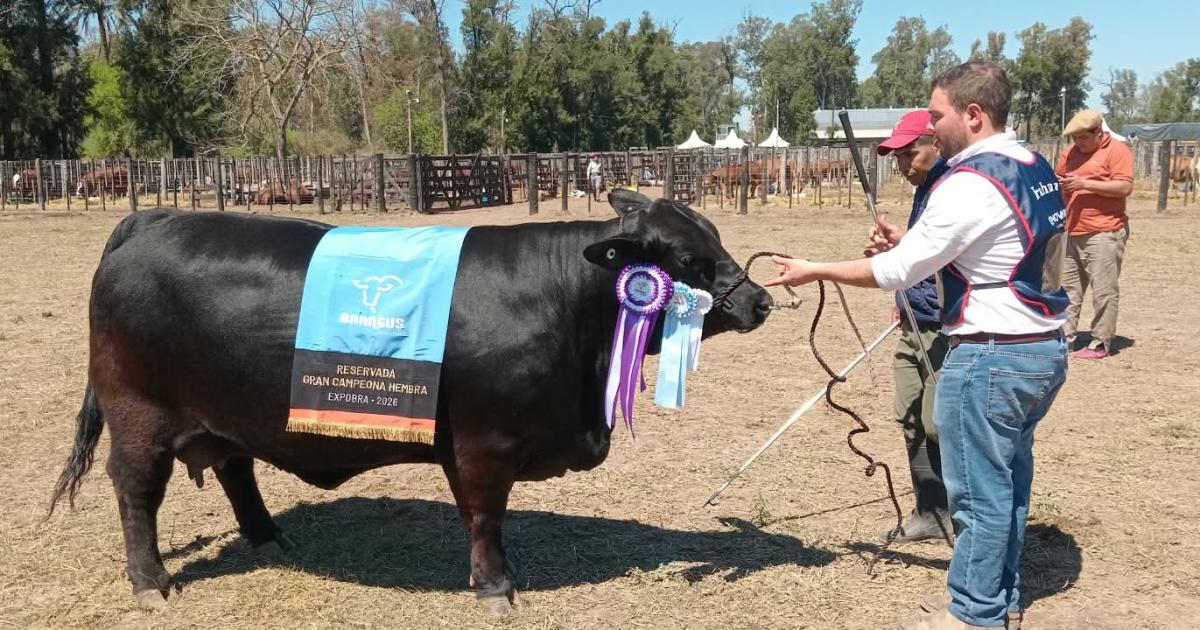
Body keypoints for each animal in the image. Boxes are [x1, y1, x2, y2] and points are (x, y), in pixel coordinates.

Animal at [48, 189, 772, 614]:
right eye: (687, 258)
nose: (761, 300)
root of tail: (152, 217)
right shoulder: (482, 446)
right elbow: (484, 519)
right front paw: (496, 589)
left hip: (227, 410)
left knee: (235, 466)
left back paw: (269, 536)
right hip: (138, 418)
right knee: (136, 492)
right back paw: (151, 583)